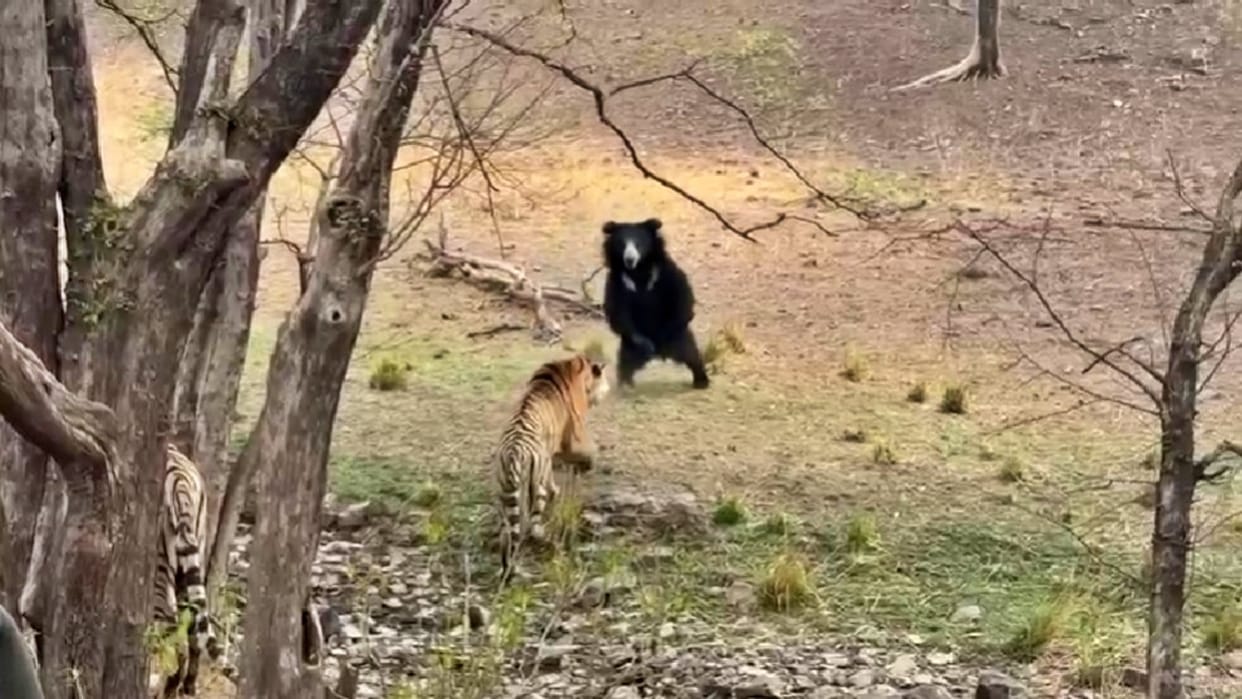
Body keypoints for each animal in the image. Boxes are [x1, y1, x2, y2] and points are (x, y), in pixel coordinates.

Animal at [152, 443, 221, 697]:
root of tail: (180, 481)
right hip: (191, 561)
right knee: (194, 630)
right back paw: (187, 685)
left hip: (161, 576)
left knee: (175, 636)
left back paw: (167, 686)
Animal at [496, 353, 610, 583]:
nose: (609, 389)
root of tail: (514, 452)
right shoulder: (572, 436)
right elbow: (585, 454)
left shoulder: (548, 453)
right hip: (534, 488)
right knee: (533, 525)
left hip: (507, 492)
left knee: (508, 533)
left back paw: (507, 568)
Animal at [600, 217, 710, 390]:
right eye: (621, 244)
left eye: (638, 243)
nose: (629, 259)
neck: (638, 270)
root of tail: (661, 355)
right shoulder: (618, 281)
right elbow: (617, 312)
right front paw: (646, 345)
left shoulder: (666, 272)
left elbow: (682, 296)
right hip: (628, 347)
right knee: (625, 364)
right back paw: (626, 384)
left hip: (682, 338)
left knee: (692, 355)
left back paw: (701, 381)